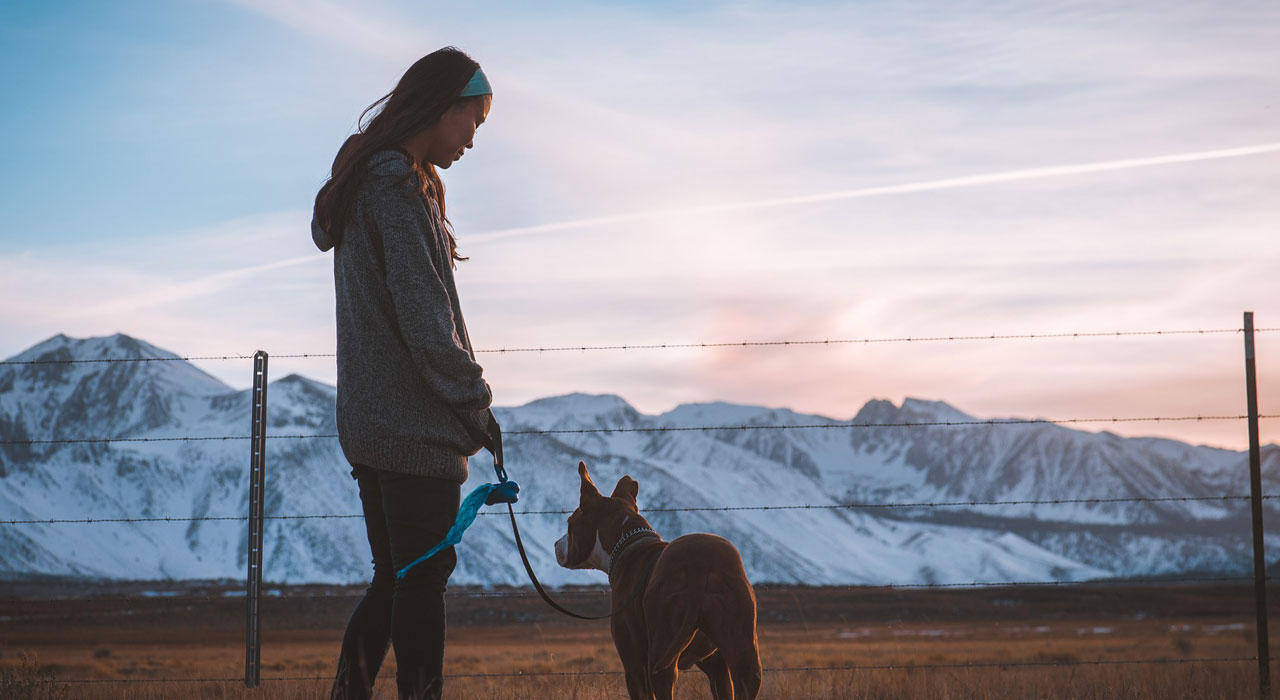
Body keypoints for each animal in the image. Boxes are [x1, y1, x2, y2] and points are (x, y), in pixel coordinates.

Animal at [552, 463, 757, 696]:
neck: (628, 541)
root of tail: (700, 566)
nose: (555, 544)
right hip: (741, 649)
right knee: (747, 676)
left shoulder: (634, 665)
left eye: (569, 522)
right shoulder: (716, 667)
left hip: (660, 654)